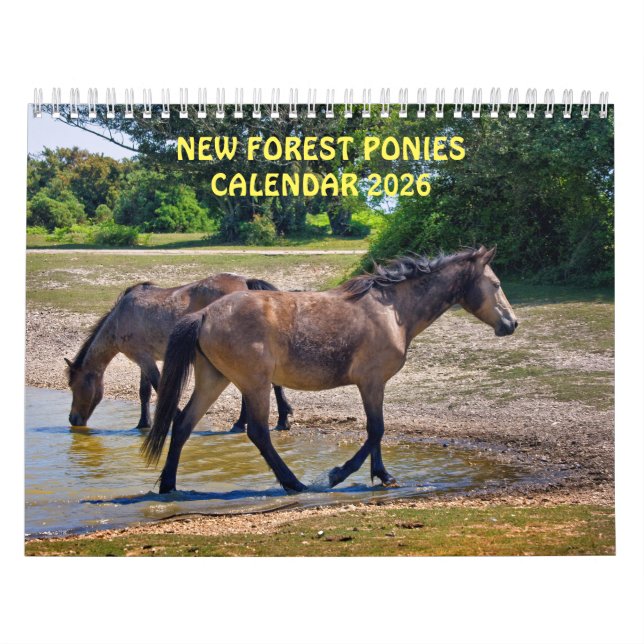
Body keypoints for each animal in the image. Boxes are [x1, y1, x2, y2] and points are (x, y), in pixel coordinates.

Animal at [65, 273, 293, 431]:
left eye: (74, 386)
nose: (72, 419)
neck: (121, 317)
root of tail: (245, 282)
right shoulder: (145, 359)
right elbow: (144, 391)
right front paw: (143, 423)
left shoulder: (143, 359)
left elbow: (158, 386)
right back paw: (279, 419)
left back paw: (244, 423)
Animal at [142, 246, 518, 494]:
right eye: (497, 284)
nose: (512, 323)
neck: (393, 311)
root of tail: (205, 314)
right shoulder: (371, 382)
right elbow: (376, 430)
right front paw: (340, 474)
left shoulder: (374, 385)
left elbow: (375, 431)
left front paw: (383, 476)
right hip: (254, 384)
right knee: (258, 433)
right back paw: (294, 483)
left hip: (214, 380)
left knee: (182, 424)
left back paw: (168, 487)